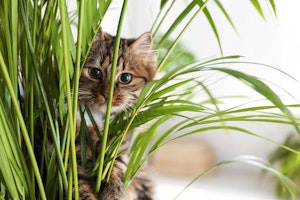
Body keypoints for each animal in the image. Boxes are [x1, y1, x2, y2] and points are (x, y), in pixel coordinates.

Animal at [75, 28, 157, 200]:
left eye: (125, 78)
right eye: (95, 72)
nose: (107, 94)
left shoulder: (120, 148)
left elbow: (115, 170)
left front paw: (113, 193)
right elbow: (80, 186)